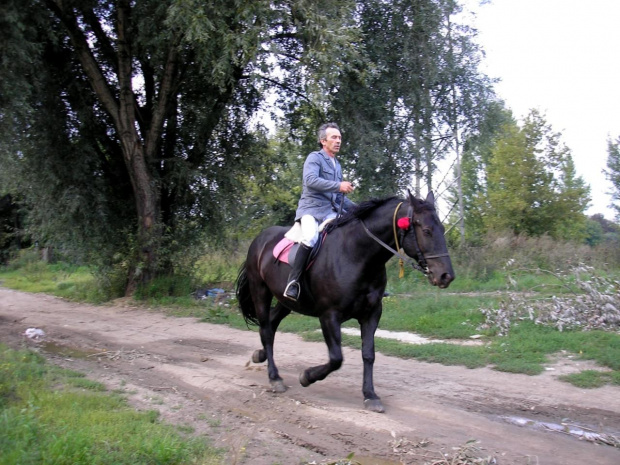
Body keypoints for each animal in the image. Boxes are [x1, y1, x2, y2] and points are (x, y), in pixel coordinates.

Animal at [235, 190, 452, 412]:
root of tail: (260, 239)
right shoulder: (329, 316)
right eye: (426, 230)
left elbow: (368, 354)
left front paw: (370, 395)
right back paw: (275, 378)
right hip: (260, 291)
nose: (446, 276)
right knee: (266, 330)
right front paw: (307, 376)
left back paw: (260, 355)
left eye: (442, 229)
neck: (356, 254)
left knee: (271, 325)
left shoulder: (372, 313)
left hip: (287, 301)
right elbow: (336, 358)